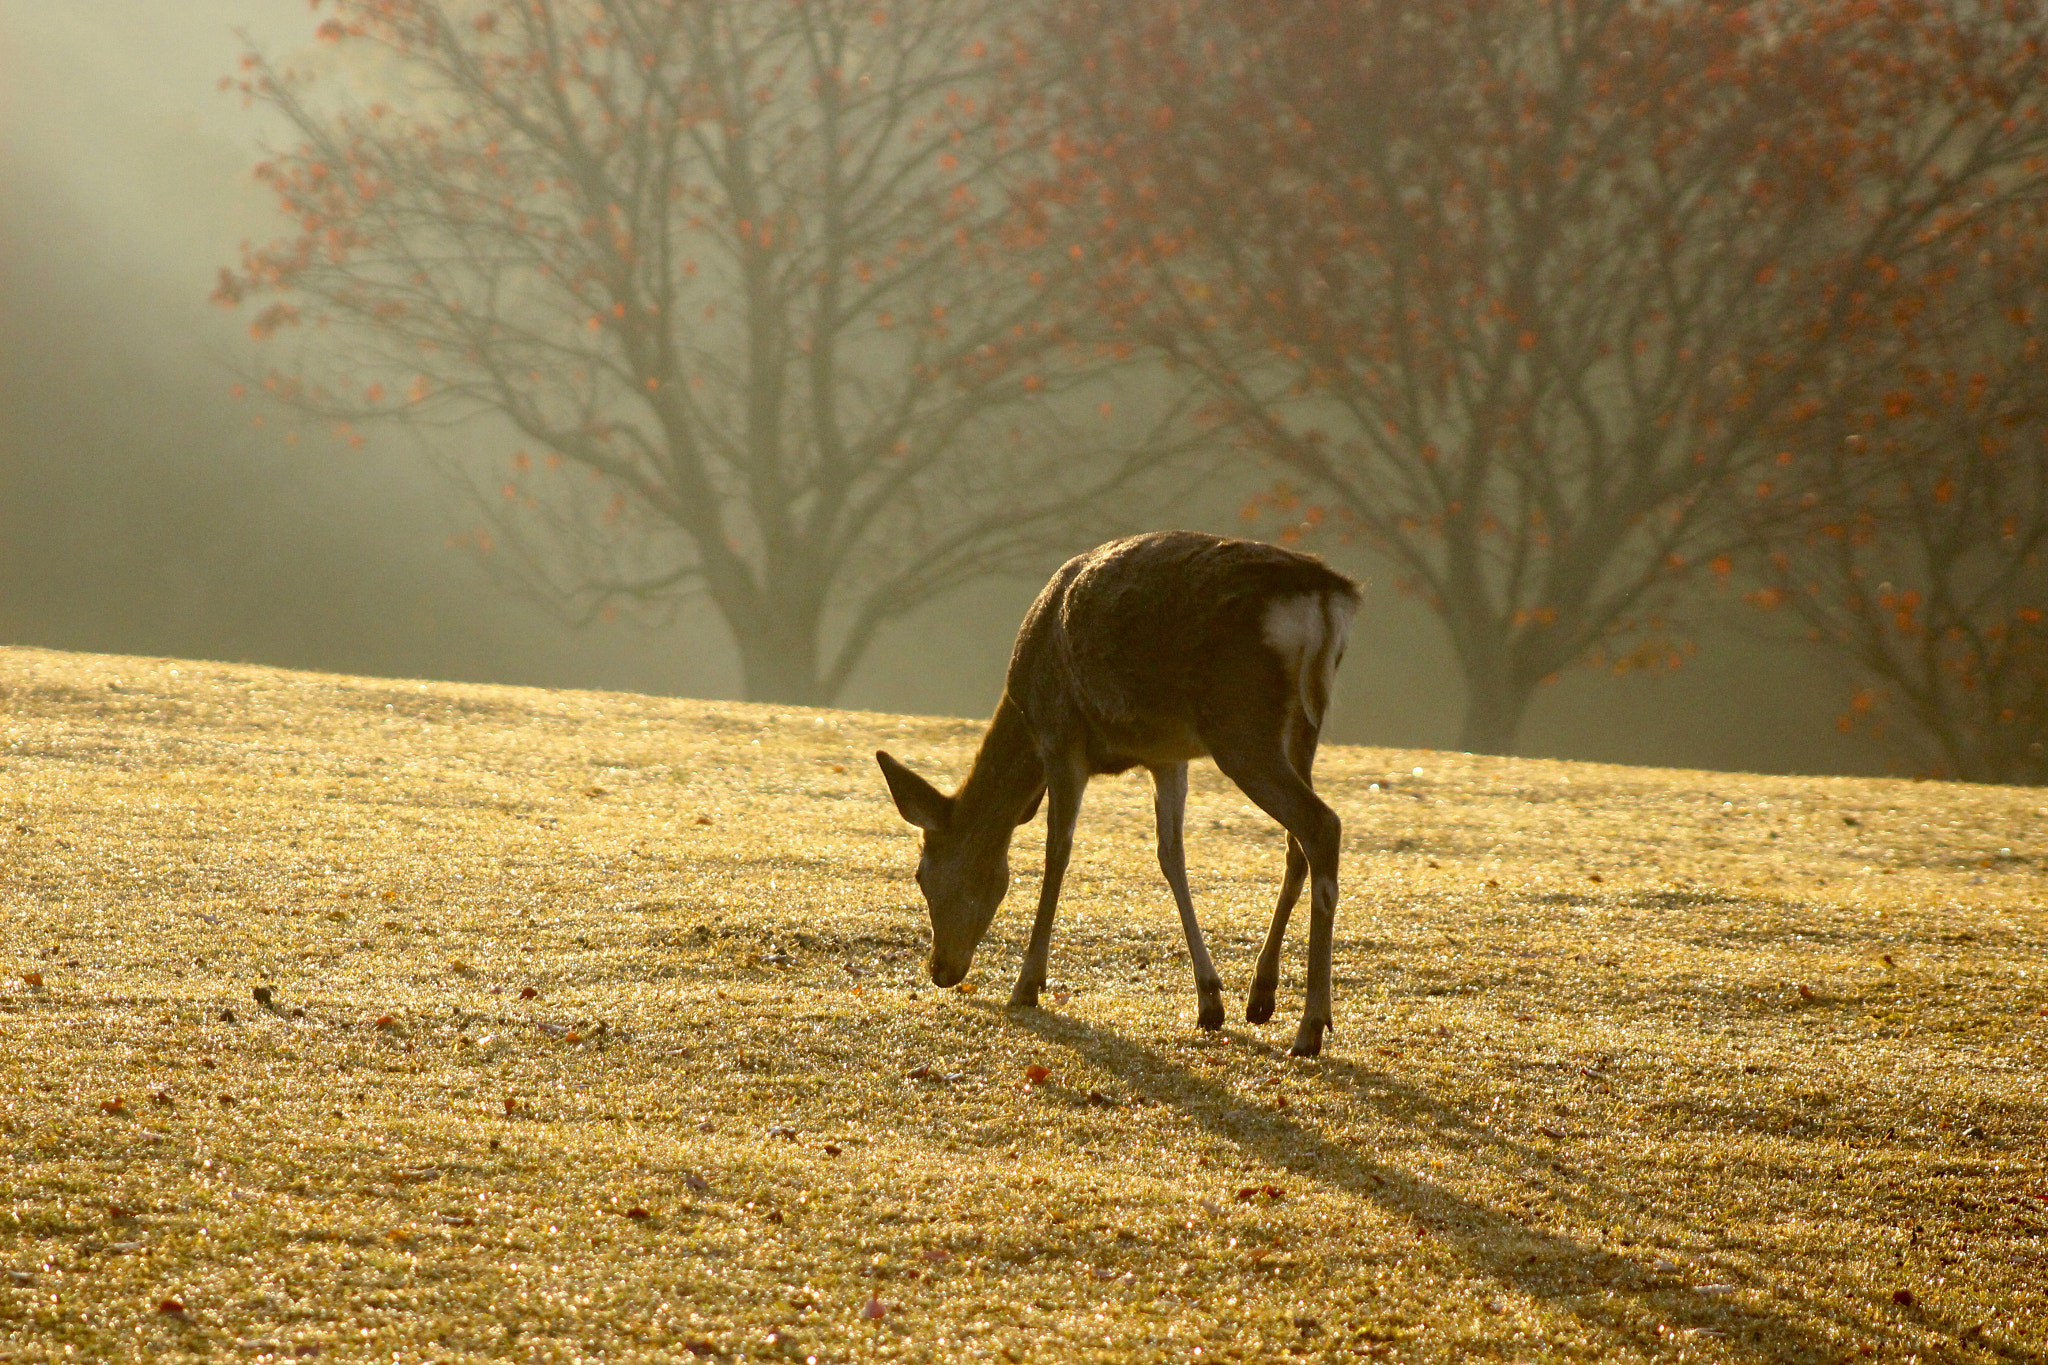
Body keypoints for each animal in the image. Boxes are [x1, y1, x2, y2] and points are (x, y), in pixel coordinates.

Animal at [875, 530, 1361, 1057]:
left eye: (921, 874)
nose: (940, 969)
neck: (1024, 715)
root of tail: (1328, 593)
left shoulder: (1061, 735)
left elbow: (1057, 852)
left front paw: (1027, 985)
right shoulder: (1166, 755)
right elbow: (1171, 856)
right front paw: (1209, 1000)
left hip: (1239, 720)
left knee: (1321, 824)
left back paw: (1311, 1026)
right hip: (1302, 726)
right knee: (1296, 843)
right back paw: (1262, 996)